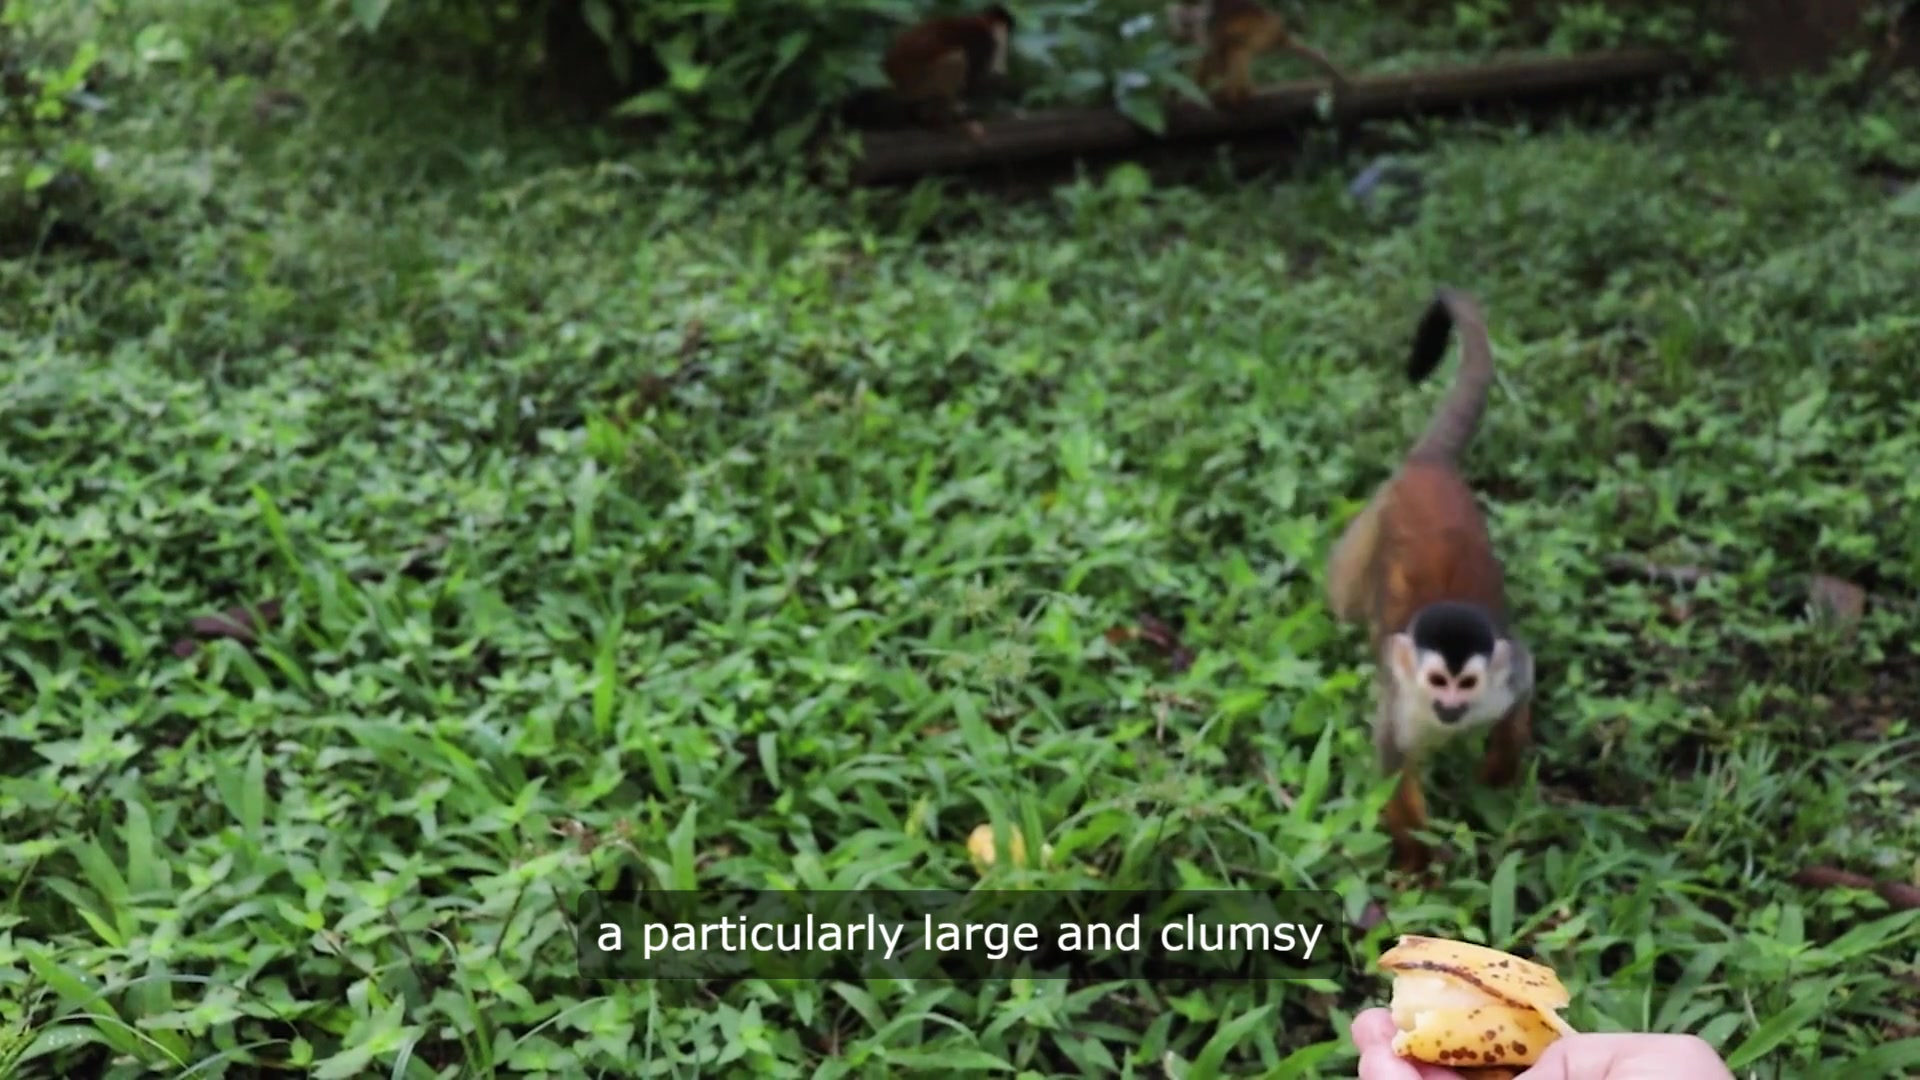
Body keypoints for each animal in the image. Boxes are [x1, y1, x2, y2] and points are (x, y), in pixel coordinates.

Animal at [1165, 0, 1351, 108]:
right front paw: (1172, 94)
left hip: (1264, 31)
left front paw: (1197, 89)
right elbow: (1179, 51)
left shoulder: (1205, 25)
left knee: (1236, 45)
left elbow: (1210, 56)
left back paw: (1238, 93)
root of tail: (1280, 32)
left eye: (1191, 17)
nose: (1187, 23)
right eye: (1183, 18)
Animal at [1324, 288, 1535, 876]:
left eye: (1466, 685)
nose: (1451, 708)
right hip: (1369, 527)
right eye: (1438, 682)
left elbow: (1520, 698)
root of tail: (1427, 466)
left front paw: (1499, 769)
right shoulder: (1401, 708)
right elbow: (1395, 774)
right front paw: (1419, 863)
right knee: (1343, 598)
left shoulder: (1509, 678)